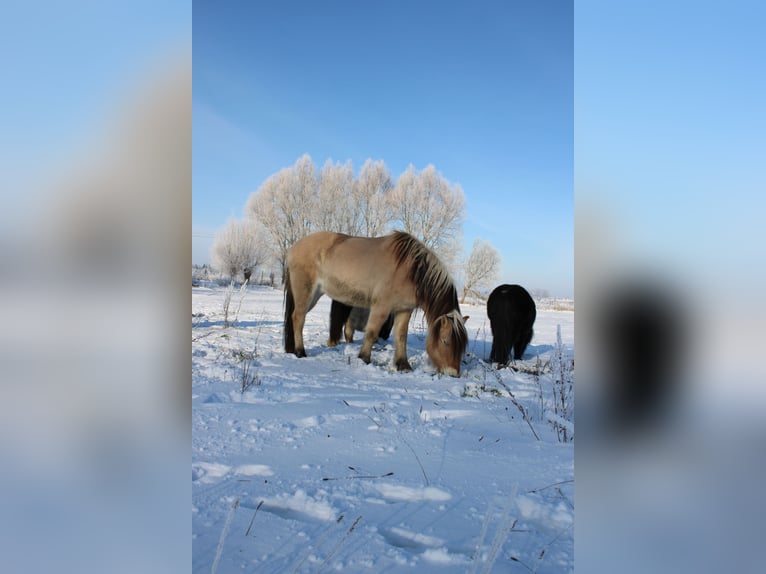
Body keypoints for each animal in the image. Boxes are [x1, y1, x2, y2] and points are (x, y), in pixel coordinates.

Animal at [284, 231, 468, 376]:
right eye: (446, 341)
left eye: (462, 345)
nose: (453, 373)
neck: (411, 270)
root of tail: (293, 249)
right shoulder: (381, 307)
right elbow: (372, 332)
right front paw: (364, 358)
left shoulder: (404, 310)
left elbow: (401, 336)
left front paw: (403, 365)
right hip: (305, 292)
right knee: (298, 318)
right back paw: (300, 352)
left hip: (314, 294)